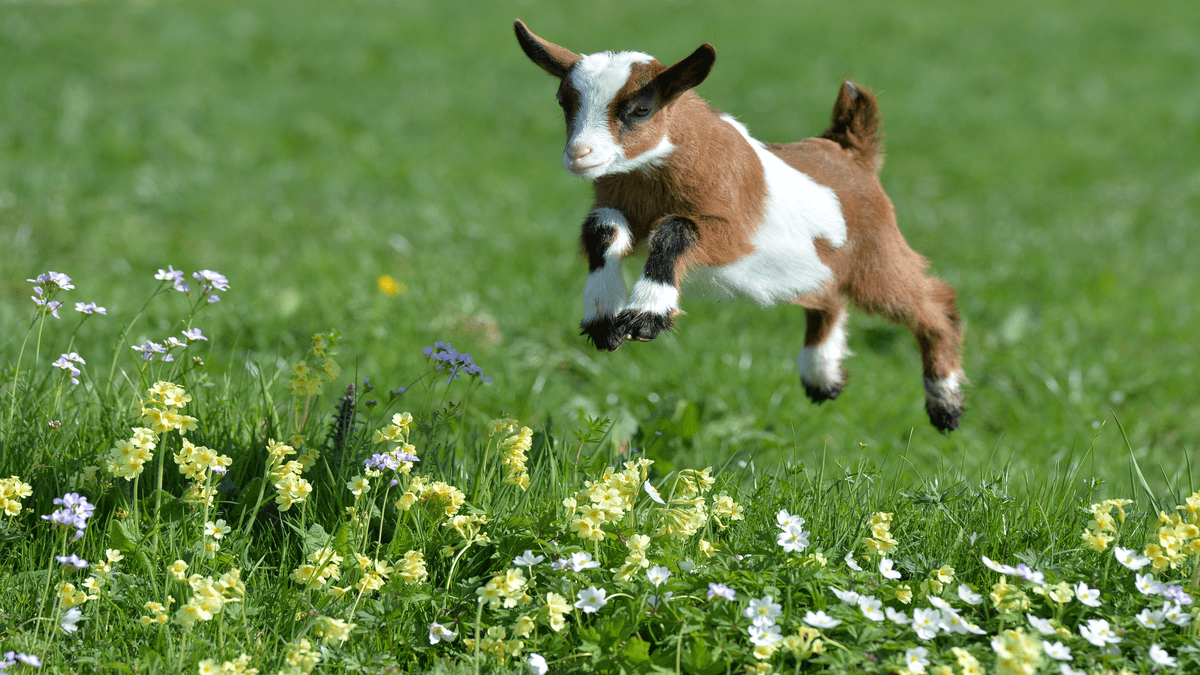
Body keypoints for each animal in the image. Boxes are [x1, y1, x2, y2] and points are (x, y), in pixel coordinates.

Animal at [514, 20, 966, 431]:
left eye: (640, 109)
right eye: (563, 101)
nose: (579, 154)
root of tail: (851, 151)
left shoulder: (734, 233)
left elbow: (676, 229)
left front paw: (645, 315)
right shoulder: (618, 204)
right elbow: (602, 230)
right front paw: (603, 318)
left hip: (875, 254)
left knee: (933, 302)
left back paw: (945, 403)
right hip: (809, 267)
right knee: (830, 299)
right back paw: (822, 378)